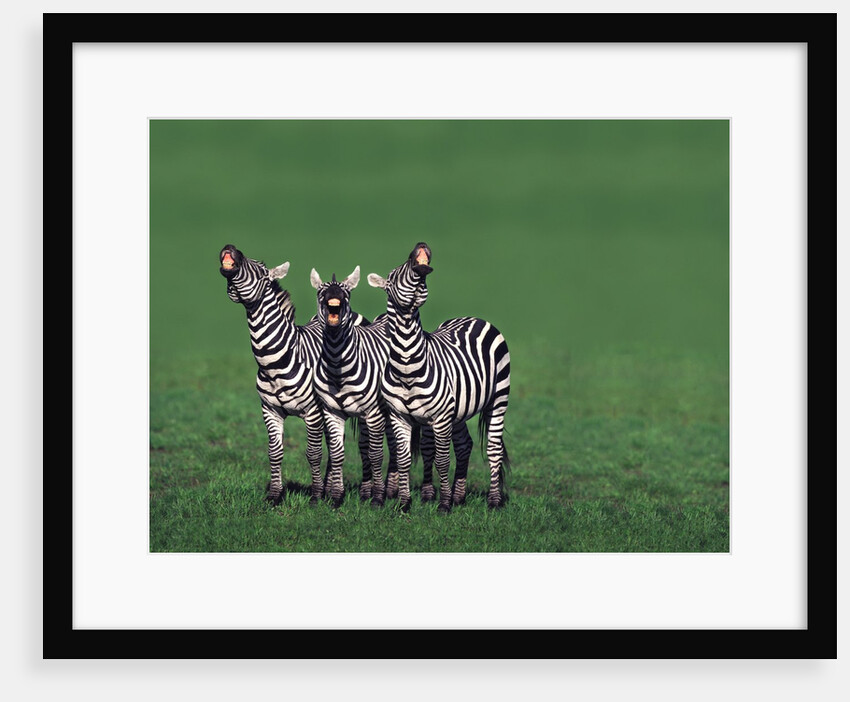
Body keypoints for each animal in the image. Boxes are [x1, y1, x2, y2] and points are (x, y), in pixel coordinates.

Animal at [219, 244, 371, 506]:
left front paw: (316, 496)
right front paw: (274, 495)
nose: (230, 248)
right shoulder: (270, 410)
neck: (274, 362)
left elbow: (313, 453)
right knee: (335, 444)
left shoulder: (312, 411)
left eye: (261, 270)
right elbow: (274, 452)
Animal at [310, 266, 398, 508]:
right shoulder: (332, 412)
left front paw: (378, 499)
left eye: (346, 294)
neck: (337, 364)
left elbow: (376, 455)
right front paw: (336, 497)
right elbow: (337, 454)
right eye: (321, 293)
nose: (334, 298)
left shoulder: (374, 412)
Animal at [367, 242, 511, 512]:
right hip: (460, 409)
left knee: (494, 449)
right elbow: (404, 459)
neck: (407, 364)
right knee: (464, 445)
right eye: (392, 274)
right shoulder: (400, 416)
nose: (420, 244)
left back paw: (494, 501)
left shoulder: (441, 417)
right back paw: (460, 496)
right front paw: (404, 503)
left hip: (499, 398)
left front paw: (444, 505)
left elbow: (443, 460)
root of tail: (473, 317)